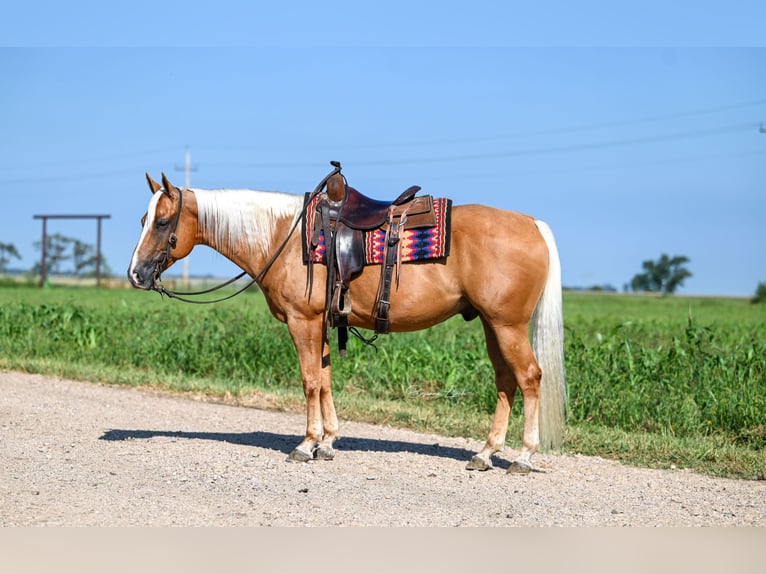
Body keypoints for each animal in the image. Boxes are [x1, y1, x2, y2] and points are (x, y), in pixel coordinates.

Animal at [129, 169, 568, 474]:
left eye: (163, 222)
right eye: (142, 220)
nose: (135, 274)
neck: (283, 238)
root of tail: (532, 224)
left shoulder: (302, 321)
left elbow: (309, 381)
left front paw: (306, 444)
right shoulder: (321, 323)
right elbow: (325, 380)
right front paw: (327, 442)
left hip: (507, 326)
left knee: (529, 378)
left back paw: (523, 456)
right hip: (493, 326)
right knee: (506, 381)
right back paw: (486, 452)